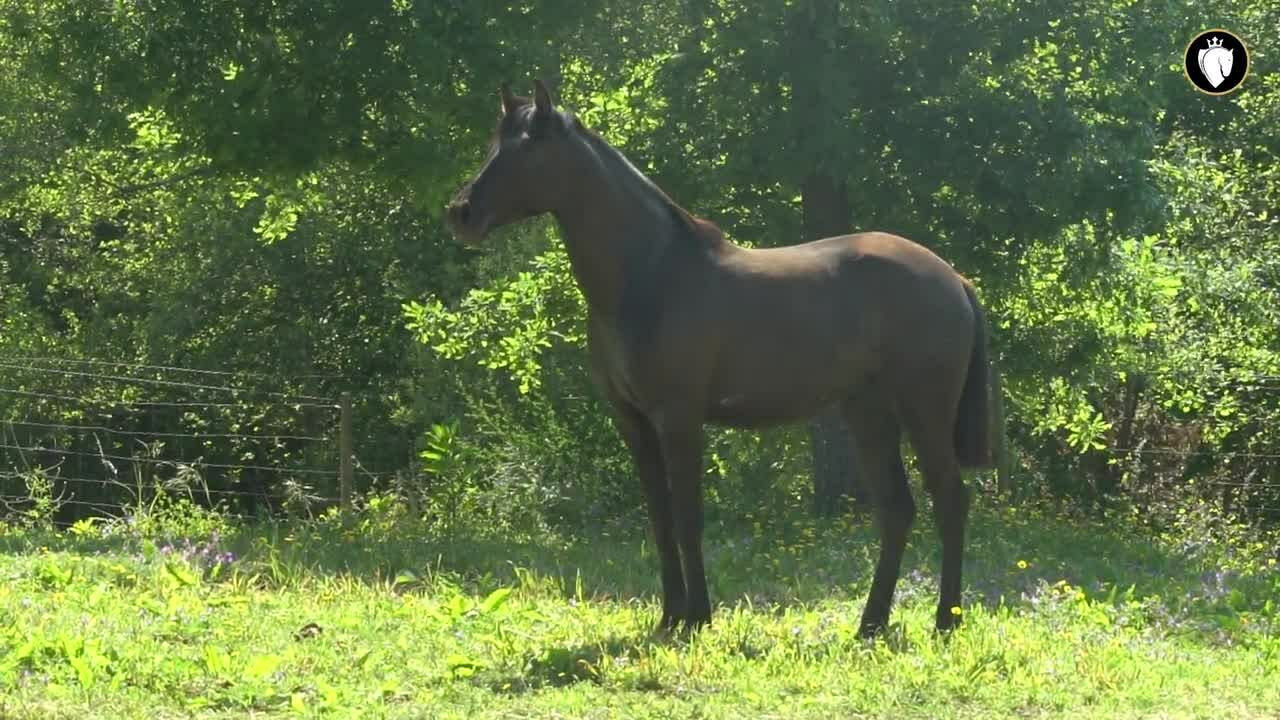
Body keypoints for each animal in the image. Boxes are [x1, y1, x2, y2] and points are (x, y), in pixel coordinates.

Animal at [445, 79, 992, 638]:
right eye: (494, 143)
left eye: (528, 146)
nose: (460, 213)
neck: (649, 274)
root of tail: (953, 278)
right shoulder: (634, 423)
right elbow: (660, 519)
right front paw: (670, 616)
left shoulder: (679, 419)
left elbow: (688, 518)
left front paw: (697, 618)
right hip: (868, 413)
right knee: (897, 510)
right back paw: (871, 624)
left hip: (923, 411)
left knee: (950, 500)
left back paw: (945, 620)